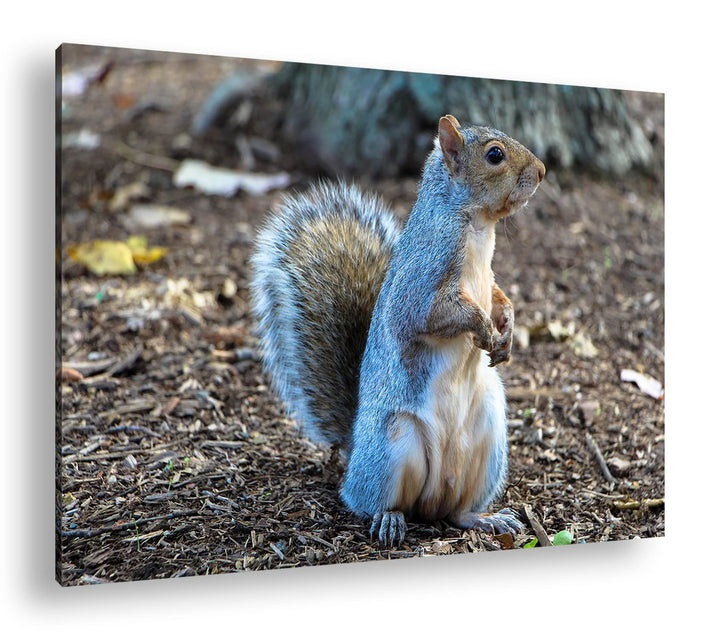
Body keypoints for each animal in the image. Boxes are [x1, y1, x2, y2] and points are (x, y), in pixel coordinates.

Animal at [250, 115, 545, 547]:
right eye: (495, 155)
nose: (542, 171)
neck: (477, 226)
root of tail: (355, 448)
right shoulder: (422, 279)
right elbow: (435, 315)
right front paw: (485, 330)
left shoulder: (487, 278)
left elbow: (497, 296)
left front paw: (506, 328)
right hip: (393, 445)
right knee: (371, 501)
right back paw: (389, 518)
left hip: (489, 438)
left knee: (457, 512)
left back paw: (485, 518)